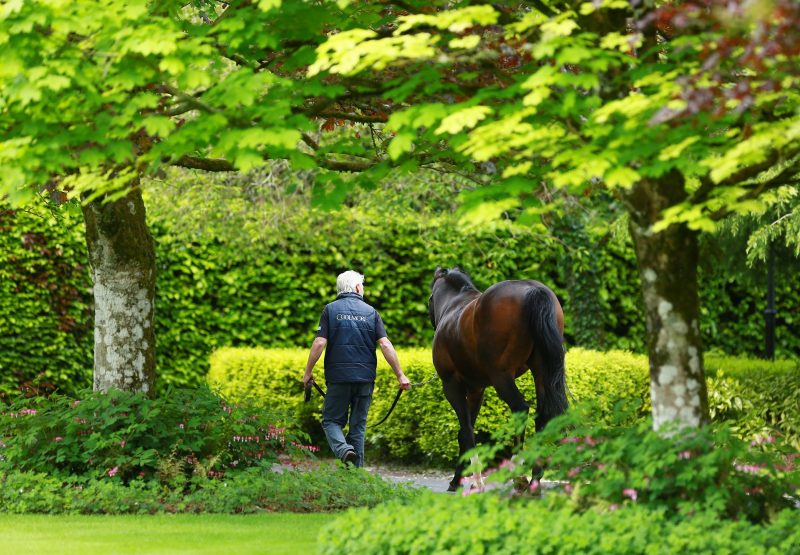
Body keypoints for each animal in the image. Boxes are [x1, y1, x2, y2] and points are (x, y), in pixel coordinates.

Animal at [428, 268, 564, 490]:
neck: (454, 306)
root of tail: (533, 291)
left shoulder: (451, 385)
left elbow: (466, 432)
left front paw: (471, 481)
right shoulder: (476, 389)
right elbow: (466, 431)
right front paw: (461, 479)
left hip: (501, 376)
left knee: (520, 408)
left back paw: (518, 473)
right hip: (541, 371)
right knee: (542, 416)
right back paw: (535, 479)